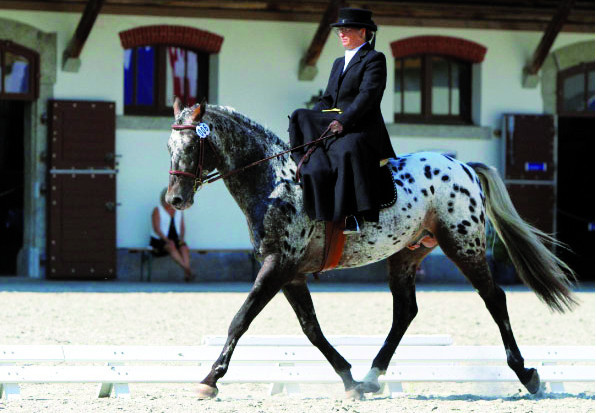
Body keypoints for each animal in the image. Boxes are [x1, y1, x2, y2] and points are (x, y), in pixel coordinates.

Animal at [165, 99, 576, 400]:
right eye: (169, 147)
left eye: (193, 144)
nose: (175, 200)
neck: (275, 181)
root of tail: (464, 166)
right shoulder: (289, 273)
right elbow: (311, 328)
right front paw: (349, 380)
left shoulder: (278, 265)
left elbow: (241, 318)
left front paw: (209, 379)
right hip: (407, 253)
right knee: (405, 311)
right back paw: (371, 376)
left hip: (463, 244)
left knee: (494, 299)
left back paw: (527, 375)